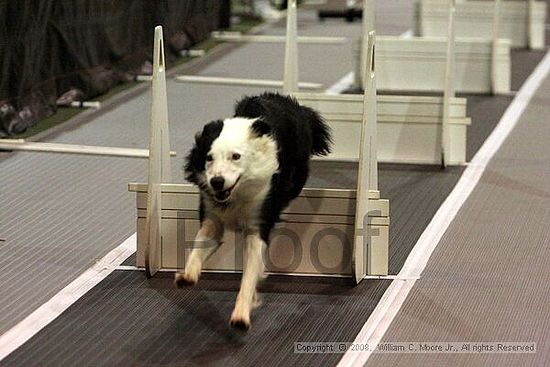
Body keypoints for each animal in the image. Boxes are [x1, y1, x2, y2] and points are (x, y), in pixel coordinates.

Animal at [177, 92, 332, 330]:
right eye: (209, 157)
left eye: (236, 156)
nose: (217, 182)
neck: (237, 193)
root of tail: (293, 104)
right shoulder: (212, 217)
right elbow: (198, 248)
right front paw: (187, 275)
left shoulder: (257, 223)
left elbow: (249, 274)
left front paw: (241, 314)